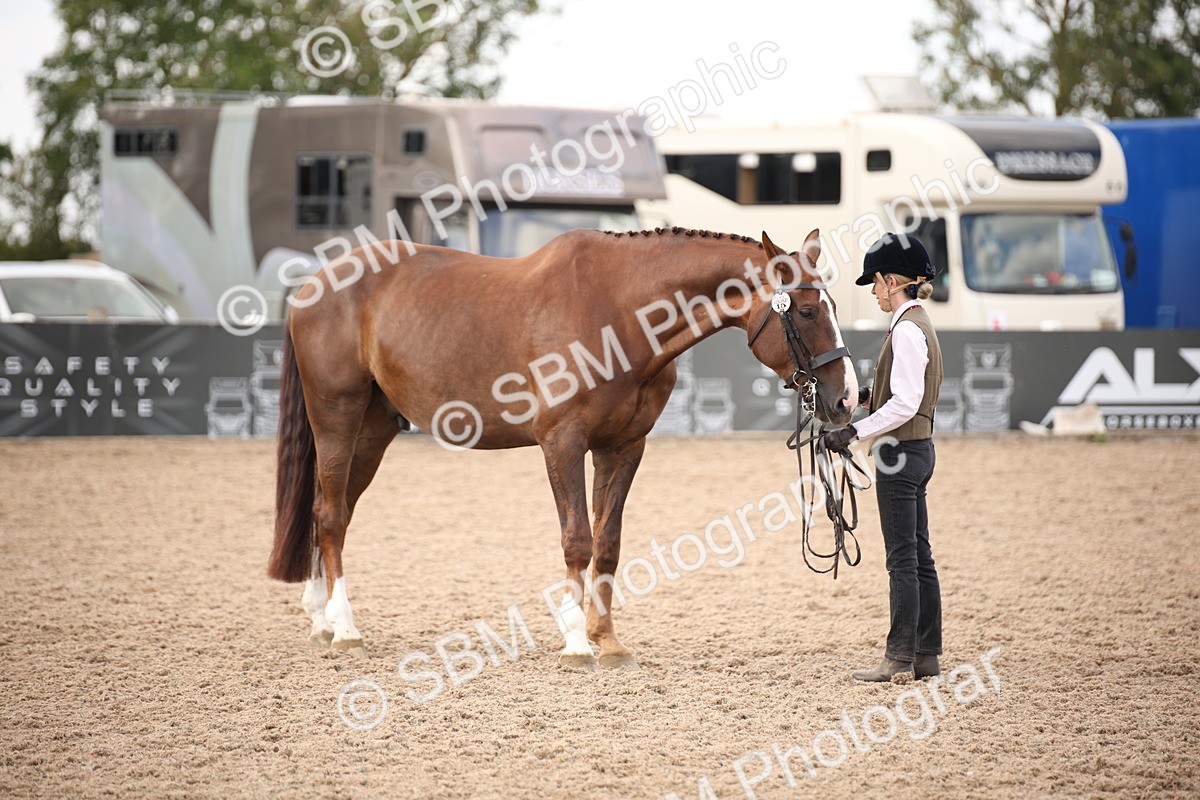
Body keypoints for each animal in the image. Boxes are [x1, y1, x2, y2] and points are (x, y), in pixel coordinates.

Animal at [268, 226, 857, 670]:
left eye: (833, 304)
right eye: (807, 311)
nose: (846, 398)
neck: (618, 312)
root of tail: (313, 285)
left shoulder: (624, 448)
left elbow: (608, 542)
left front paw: (608, 640)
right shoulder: (562, 444)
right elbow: (577, 540)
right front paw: (576, 641)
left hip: (374, 430)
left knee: (329, 512)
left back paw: (321, 619)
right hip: (337, 419)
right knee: (331, 516)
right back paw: (345, 629)